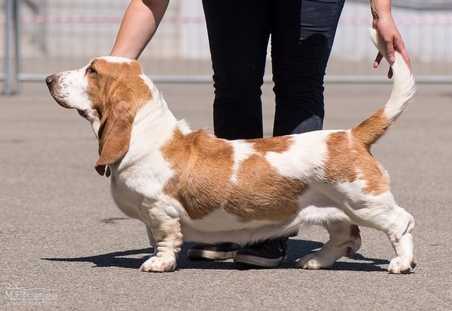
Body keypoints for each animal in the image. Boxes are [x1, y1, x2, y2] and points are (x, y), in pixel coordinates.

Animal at [46, 29, 416, 272]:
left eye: (92, 70)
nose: (49, 79)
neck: (145, 131)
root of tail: (351, 136)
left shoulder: (160, 209)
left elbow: (164, 237)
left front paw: (158, 263)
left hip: (364, 202)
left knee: (401, 222)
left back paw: (401, 262)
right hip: (334, 209)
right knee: (345, 237)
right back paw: (314, 261)